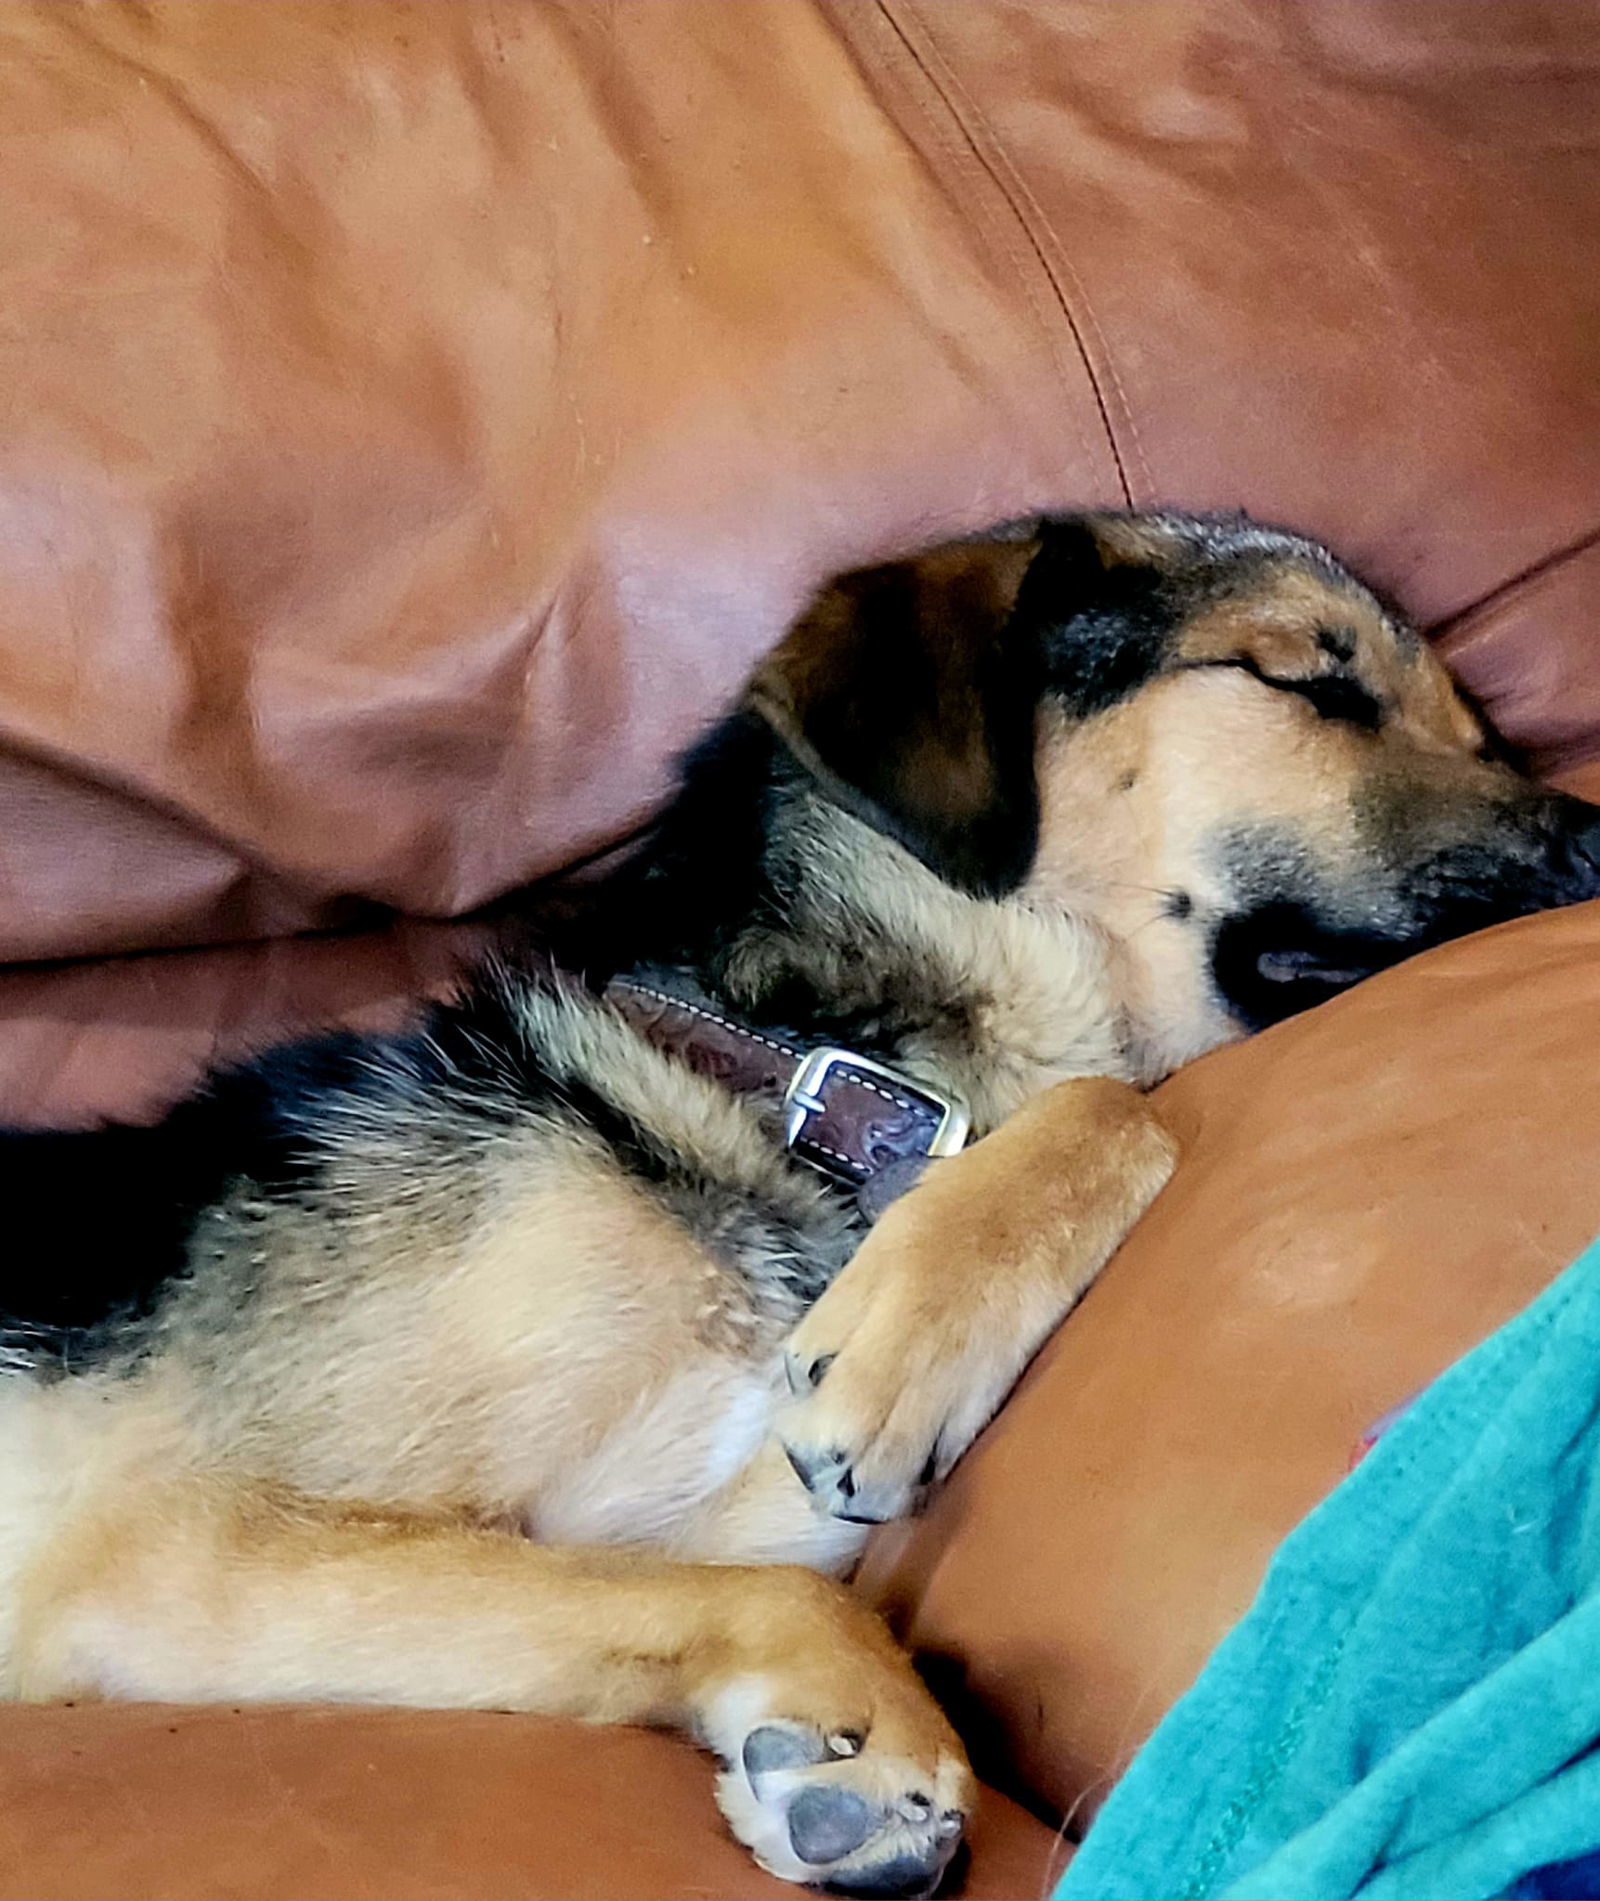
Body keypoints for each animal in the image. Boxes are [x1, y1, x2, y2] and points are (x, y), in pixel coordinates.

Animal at [3, 513, 1596, 1893]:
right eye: (1304, 680)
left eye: (1485, 733)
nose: (1596, 843)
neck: (774, 1076)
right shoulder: (185, 1541)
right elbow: (1104, 1110)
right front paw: (876, 1705)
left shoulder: (676, 1516)